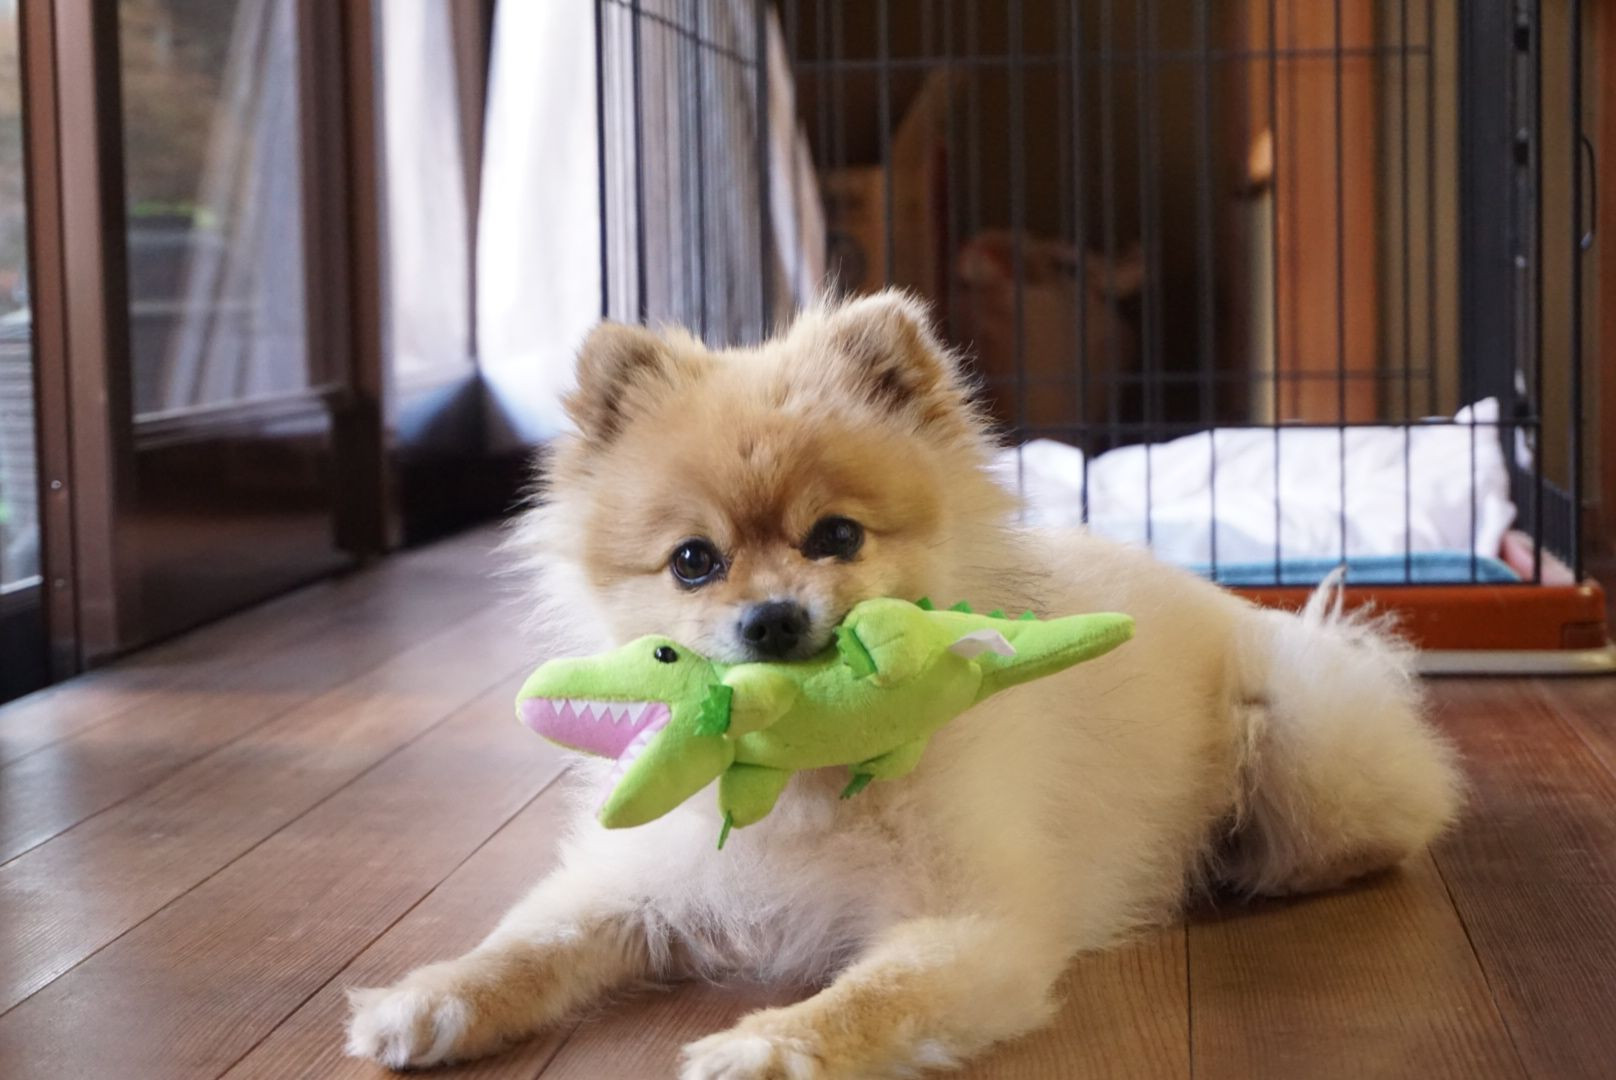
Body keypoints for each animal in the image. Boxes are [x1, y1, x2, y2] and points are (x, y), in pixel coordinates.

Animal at [346, 291, 1463, 1078]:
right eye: (694, 563)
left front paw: (765, 1044)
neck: (799, 773)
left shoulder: (975, 927)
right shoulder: (641, 883)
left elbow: (869, 995)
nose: (772, 617)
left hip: (1303, 741)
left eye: (835, 537)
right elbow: (531, 942)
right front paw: (428, 998)